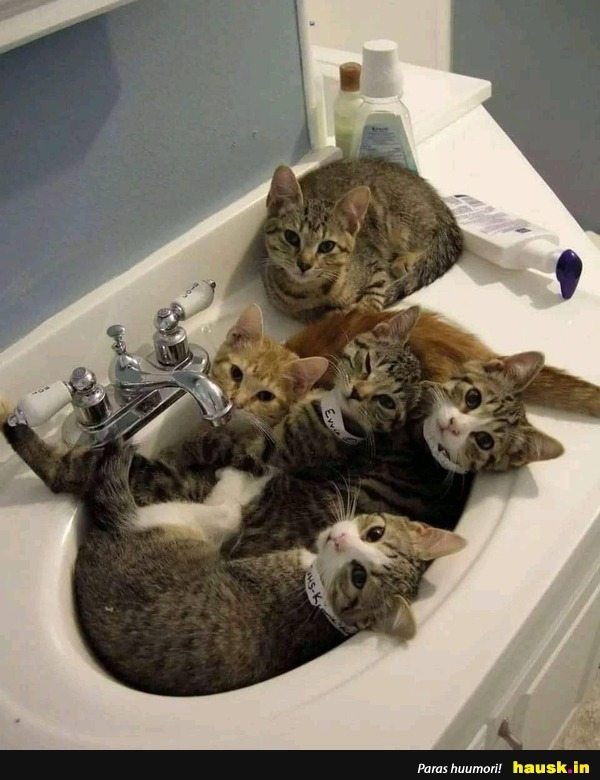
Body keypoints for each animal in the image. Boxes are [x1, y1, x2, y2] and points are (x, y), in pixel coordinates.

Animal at [74, 442, 467, 696]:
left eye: (358, 577)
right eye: (375, 533)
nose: (340, 539)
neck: (317, 597)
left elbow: (232, 499)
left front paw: (239, 474)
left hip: (168, 520)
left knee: (220, 511)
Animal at [262, 158, 463, 321]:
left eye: (327, 246)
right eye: (291, 237)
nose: (304, 265)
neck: (310, 291)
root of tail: (435, 196)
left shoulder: (373, 261)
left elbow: (375, 294)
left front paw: (363, 311)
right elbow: (313, 315)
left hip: (402, 221)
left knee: (427, 237)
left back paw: (406, 259)